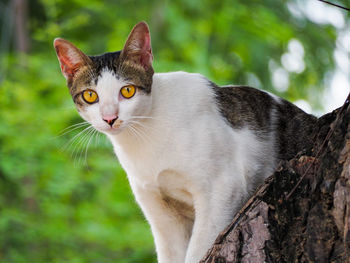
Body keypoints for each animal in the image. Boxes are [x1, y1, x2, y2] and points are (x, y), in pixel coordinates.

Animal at [54, 21, 318, 262]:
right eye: (90, 95)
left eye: (127, 91)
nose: (110, 118)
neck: (143, 139)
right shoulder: (161, 211)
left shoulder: (223, 188)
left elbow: (198, 249)